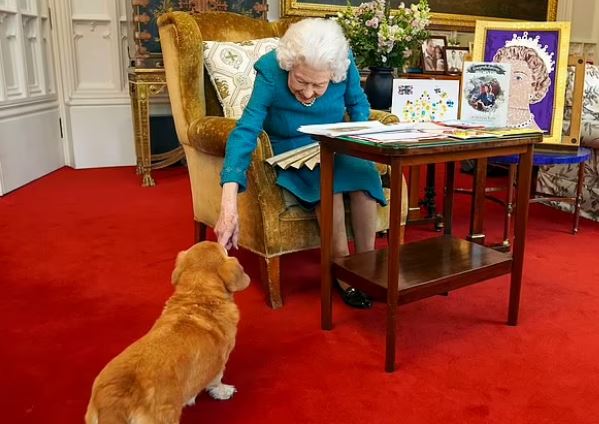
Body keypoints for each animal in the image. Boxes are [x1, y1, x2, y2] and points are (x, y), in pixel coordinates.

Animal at [85, 241, 250, 424]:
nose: (225, 242)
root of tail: (115, 403)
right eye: (224, 251)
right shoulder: (220, 361)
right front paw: (223, 391)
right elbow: (216, 380)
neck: (198, 296)